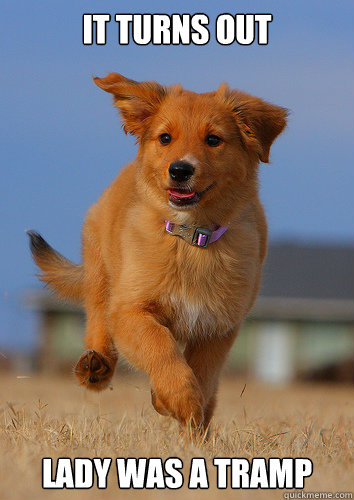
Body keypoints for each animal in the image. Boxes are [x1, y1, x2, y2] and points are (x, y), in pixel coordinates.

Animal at [27, 72, 288, 432]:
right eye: (165, 138)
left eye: (213, 140)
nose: (180, 170)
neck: (191, 239)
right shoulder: (131, 310)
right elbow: (160, 347)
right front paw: (178, 398)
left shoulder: (219, 327)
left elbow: (203, 375)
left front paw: (183, 412)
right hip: (101, 271)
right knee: (97, 317)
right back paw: (95, 366)